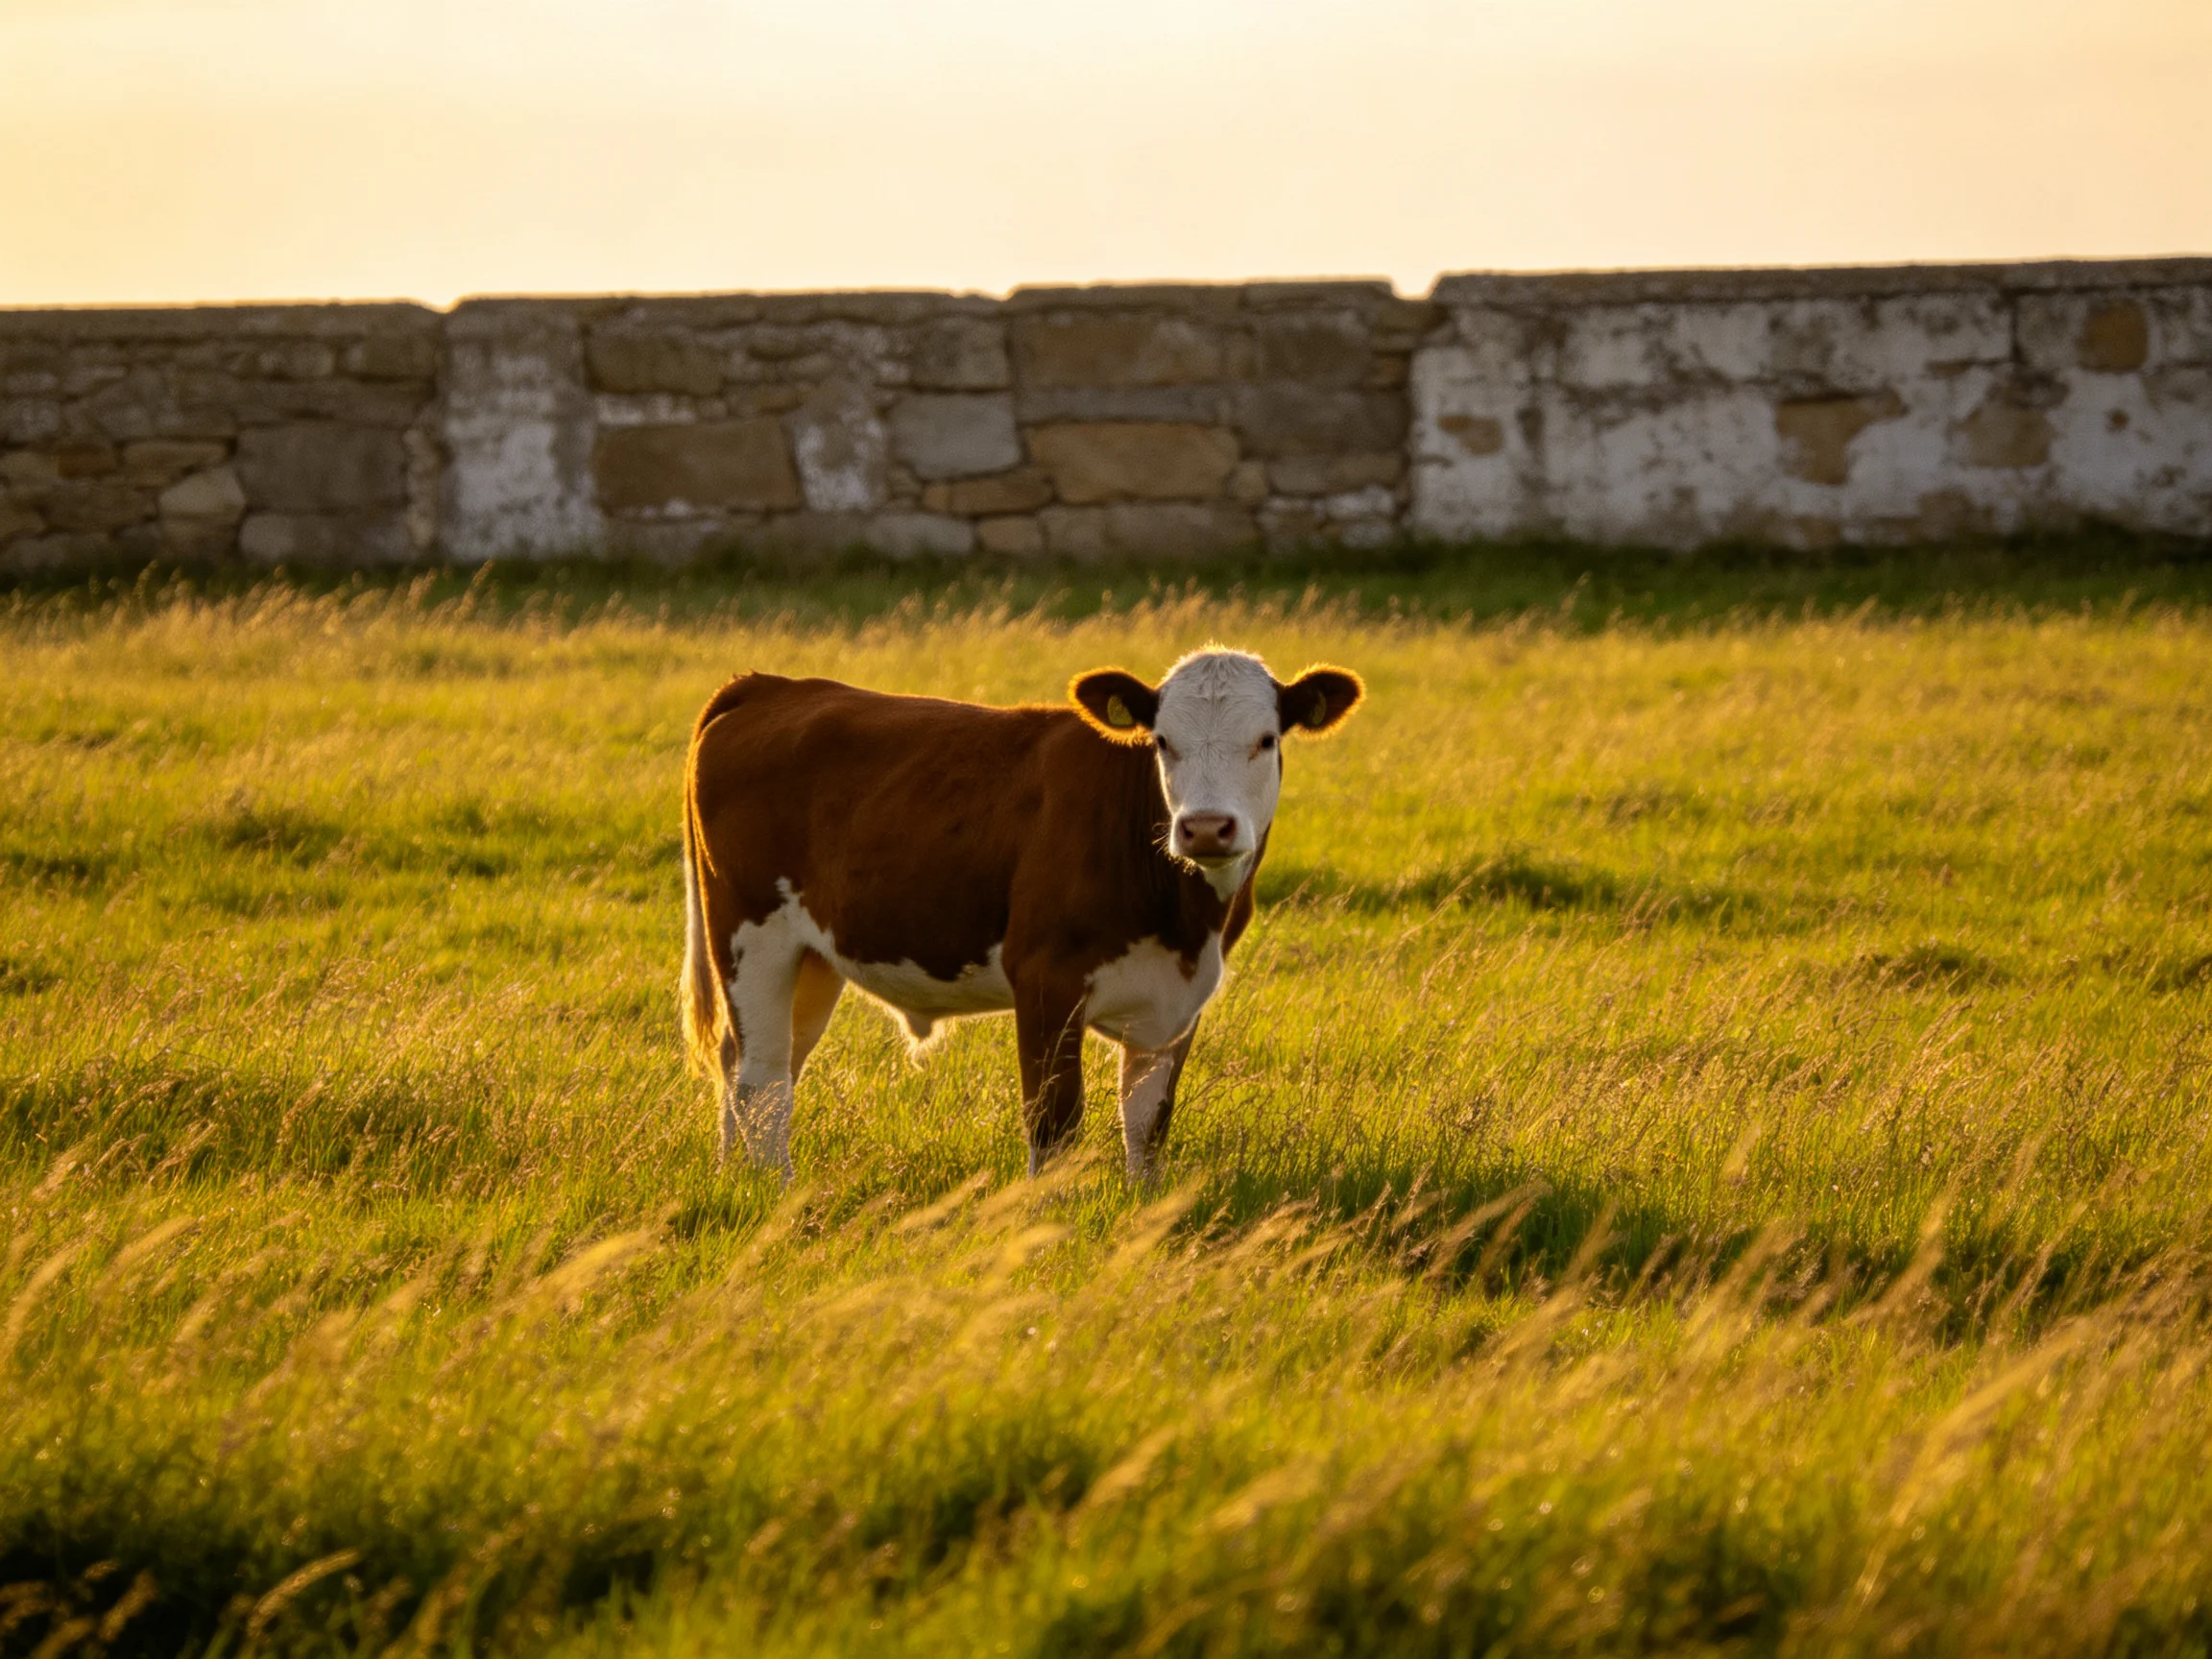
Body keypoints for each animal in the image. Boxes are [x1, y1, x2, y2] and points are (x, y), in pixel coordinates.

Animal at [678, 646, 1363, 1180]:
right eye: (1164, 742)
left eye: (1266, 740)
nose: (1204, 827)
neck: (1185, 922)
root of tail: (771, 686)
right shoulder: (1044, 979)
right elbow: (1054, 1123)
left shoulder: (1179, 1004)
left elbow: (1147, 1125)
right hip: (751, 934)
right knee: (763, 1080)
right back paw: (777, 1195)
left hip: (813, 957)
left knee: (749, 1062)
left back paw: (734, 1179)